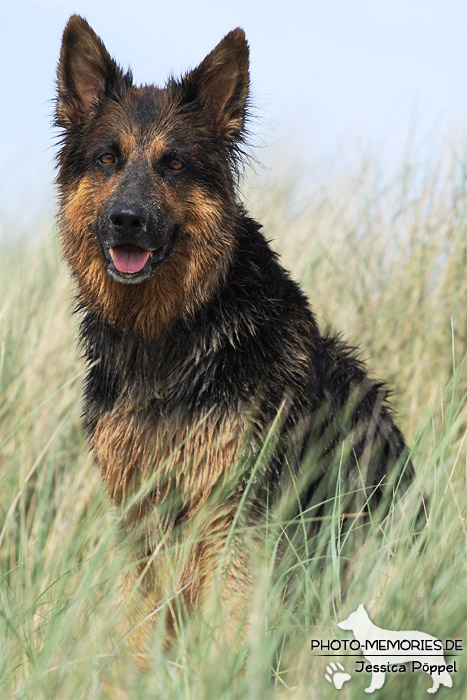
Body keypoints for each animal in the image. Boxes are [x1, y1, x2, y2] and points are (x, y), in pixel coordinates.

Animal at [54, 15, 416, 660]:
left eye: (173, 165)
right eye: (107, 159)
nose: (127, 220)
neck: (167, 336)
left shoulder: (234, 513)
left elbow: (230, 622)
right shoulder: (140, 518)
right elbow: (138, 630)